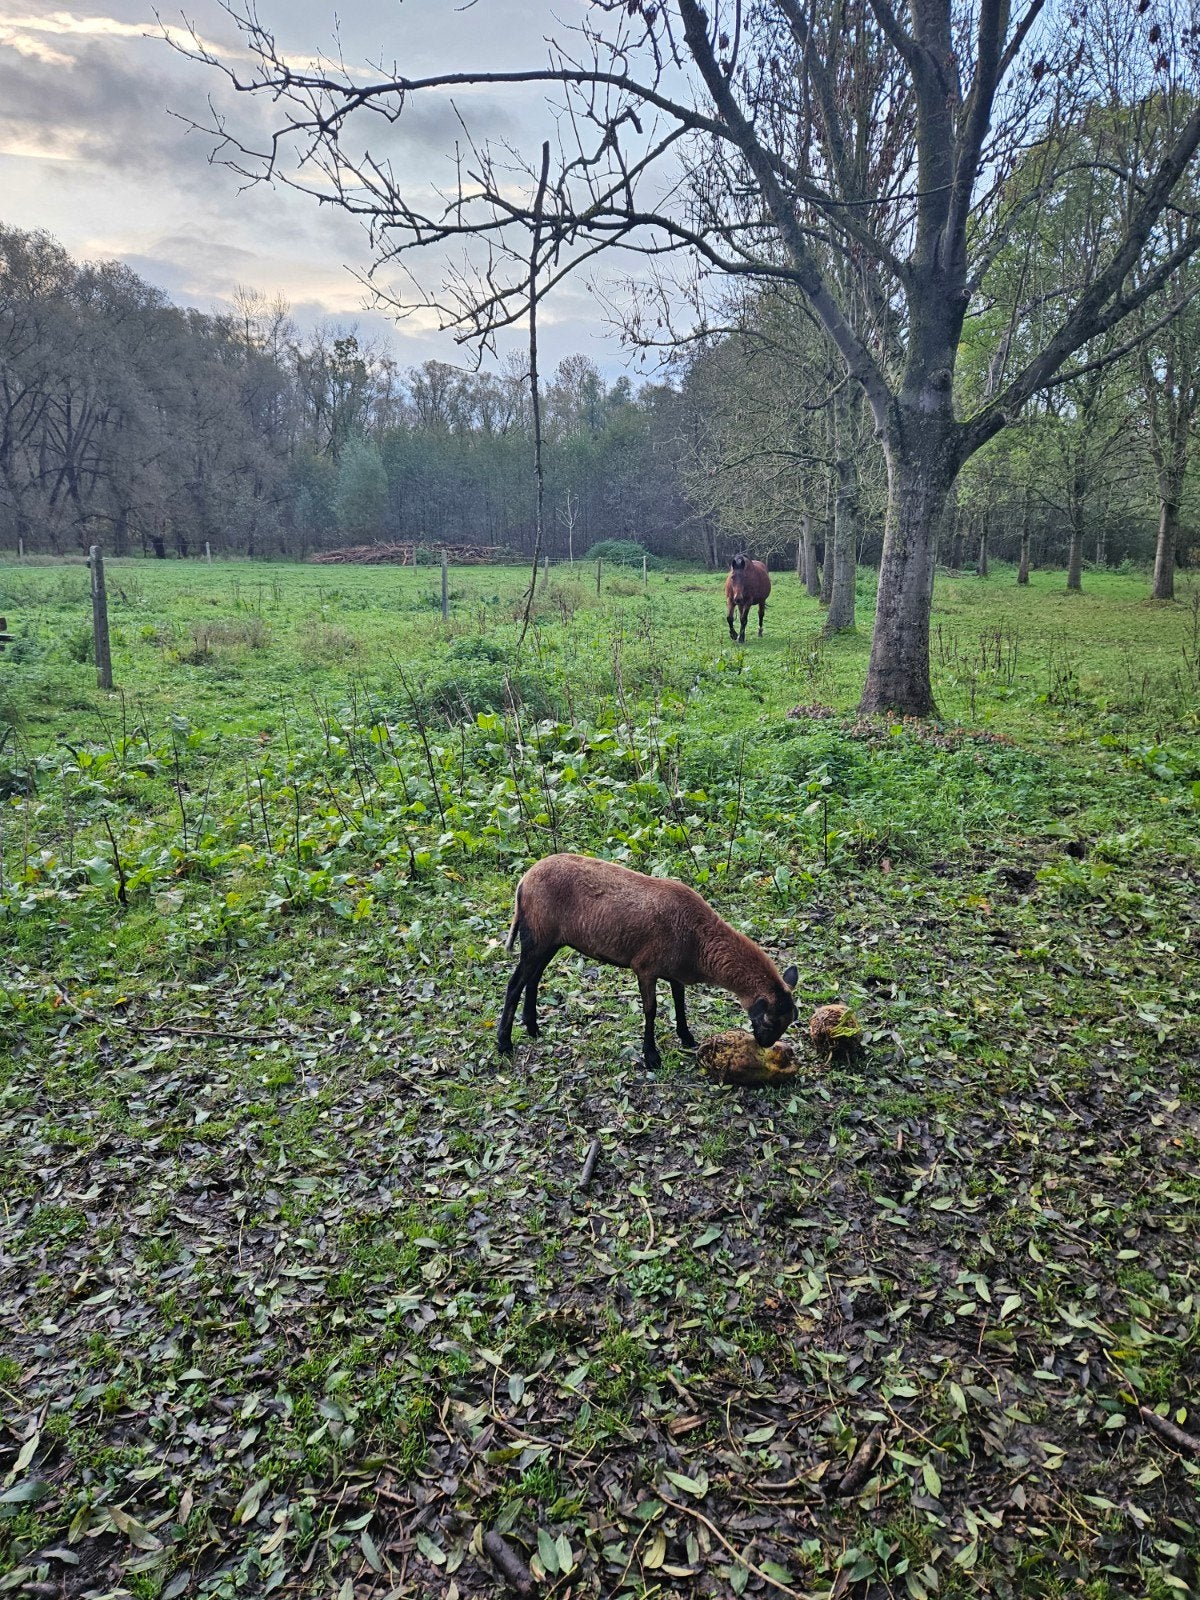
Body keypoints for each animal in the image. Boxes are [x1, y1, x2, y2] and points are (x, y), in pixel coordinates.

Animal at [496, 853, 798, 1069]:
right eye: (770, 1022)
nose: (764, 1044)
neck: (698, 942)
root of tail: (524, 881)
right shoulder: (645, 967)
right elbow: (651, 1010)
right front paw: (651, 1056)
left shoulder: (675, 971)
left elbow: (680, 1002)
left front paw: (687, 1037)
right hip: (537, 935)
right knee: (515, 983)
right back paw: (504, 1043)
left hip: (549, 940)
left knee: (533, 978)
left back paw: (532, 1027)